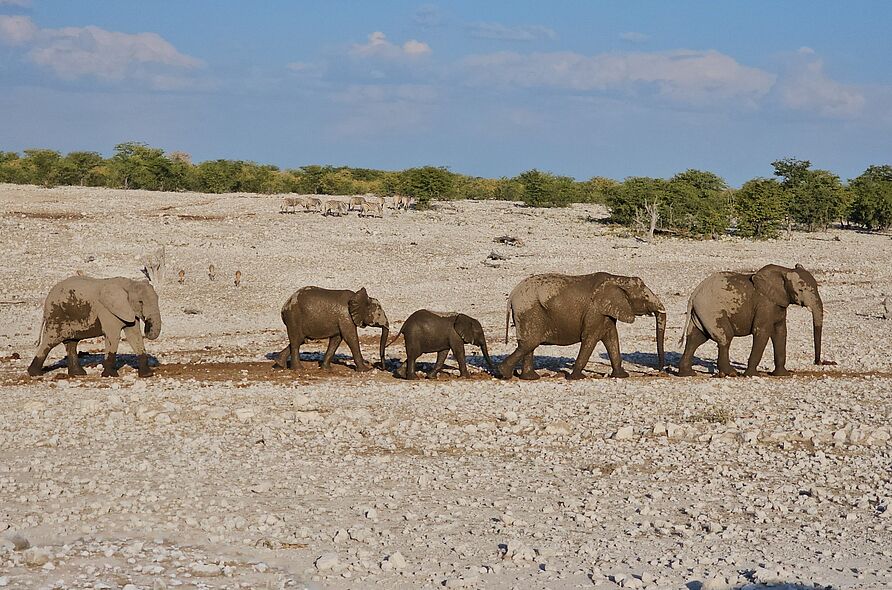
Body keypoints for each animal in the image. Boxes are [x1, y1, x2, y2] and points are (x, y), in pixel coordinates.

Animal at [27, 276, 164, 380]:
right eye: (140, 302)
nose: (147, 323)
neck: (128, 284)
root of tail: (46, 302)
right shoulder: (107, 310)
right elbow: (113, 336)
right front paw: (111, 375)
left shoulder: (128, 310)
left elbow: (134, 336)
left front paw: (147, 375)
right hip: (56, 315)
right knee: (50, 341)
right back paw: (34, 373)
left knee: (71, 343)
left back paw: (78, 374)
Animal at [498, 272, 664, 380]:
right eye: (646, 297)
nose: (660, 371)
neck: (618, 279)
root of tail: (511, 295)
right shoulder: (595, 311)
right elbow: (590, 339)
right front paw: (577, 377)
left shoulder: (606, 313)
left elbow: (612, 340)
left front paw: (622, 376)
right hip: (528, 311)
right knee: (530, 343)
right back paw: (505, 374)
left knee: (529, 345)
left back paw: (530, 378)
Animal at [680, 264, 824, 380]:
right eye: (801, 290)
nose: (818, 362)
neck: (785, 271)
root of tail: (694, 295)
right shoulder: (765, 304)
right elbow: (762, 332)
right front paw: (752, 375)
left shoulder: (779, 304)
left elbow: (780, 333)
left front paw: (783, 375)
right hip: (712, 310)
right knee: (725, 337)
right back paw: (731, 374)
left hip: (702, 313)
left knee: (696, 338)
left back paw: (687, 374)